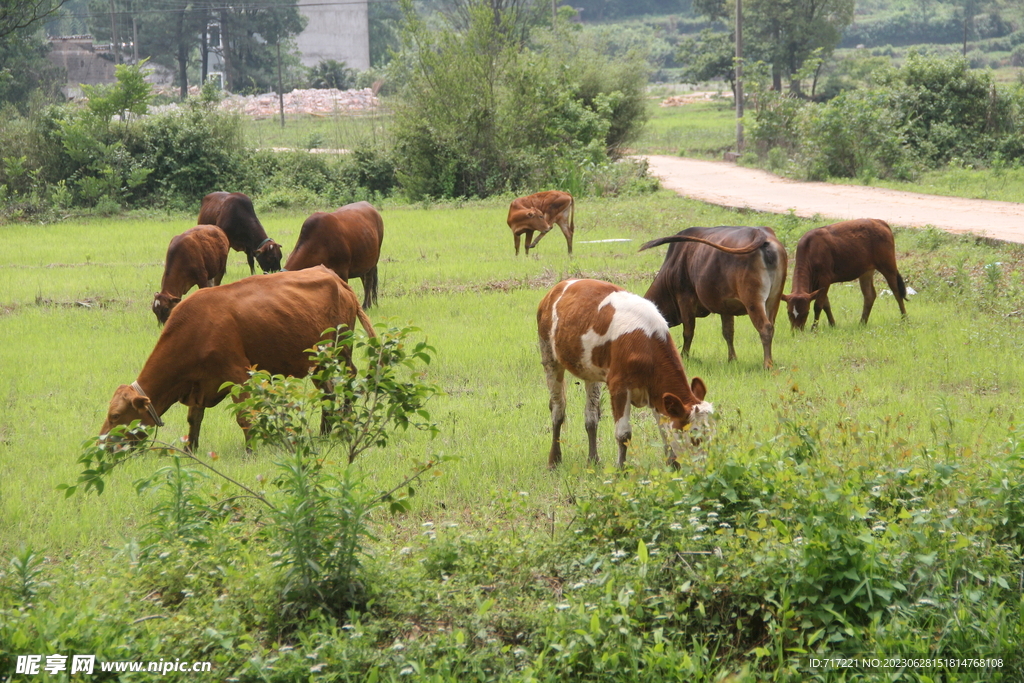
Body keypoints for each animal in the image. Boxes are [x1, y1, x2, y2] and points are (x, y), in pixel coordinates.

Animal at [99, 266, 376, 454]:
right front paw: (191, 450)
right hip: (319, 362)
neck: (194, 327)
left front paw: (251, 451)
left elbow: (245, 416)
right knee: (328, 390)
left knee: (350, 379)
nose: (102, 445)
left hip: (342, 349)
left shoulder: (238, 374)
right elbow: (194, 419)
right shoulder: (199, 384)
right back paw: (324, 431)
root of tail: (335, 277)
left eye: (115, 415)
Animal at [536, 278, 712, 471]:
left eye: (711, 434)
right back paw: (554, 460)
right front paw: (622, 469)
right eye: (695, 437)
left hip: (591, 371)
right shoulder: (619, 387)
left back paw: (593, 460)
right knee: (558, 410)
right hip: (549, 356)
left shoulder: (657, 393)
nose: (706, 468)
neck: (647, 345)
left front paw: (672, 466)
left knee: (591, 417)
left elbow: (664, 430)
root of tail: (560, 286)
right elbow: (623, 434)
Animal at [638, 225, 790, 368]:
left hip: (753, 301)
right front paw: (732, 360)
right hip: (773, 299)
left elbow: (688, 332)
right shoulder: (726, 306)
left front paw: (684, 357)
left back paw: (767, 365)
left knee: (765, 328)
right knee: (771, 326)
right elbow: (728, 332)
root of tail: (762, 234)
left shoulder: (685, 298)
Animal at [778, 216, 909, 327]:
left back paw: (905, 319)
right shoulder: (818, 284)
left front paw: (814, 329)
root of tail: (879, 221)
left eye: (806, 312)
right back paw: (862, 323)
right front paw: (832, 324)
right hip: (866, 271)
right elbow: (826, 304)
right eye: (789, 312)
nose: (796, 331)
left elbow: (818, 305)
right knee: (869, 295)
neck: (810, 250)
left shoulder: (825, 279)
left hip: (888, 265)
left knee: (897, 292)